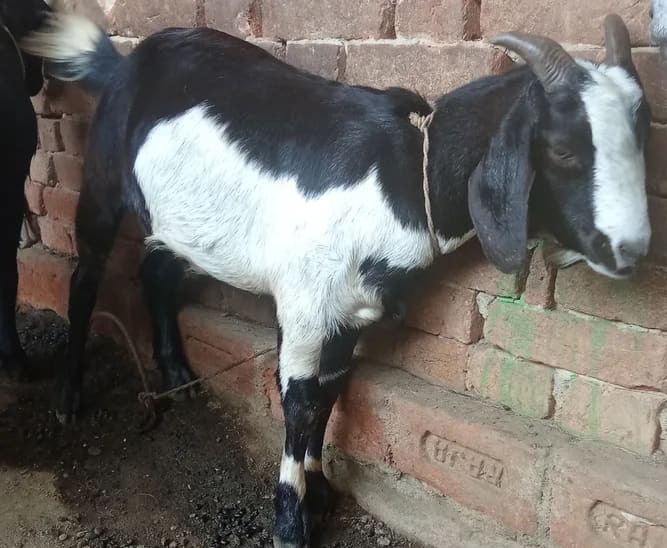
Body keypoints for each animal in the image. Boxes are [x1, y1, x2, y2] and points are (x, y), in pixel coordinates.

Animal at [24, 13, 652, 547]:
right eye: (563, 150)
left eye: (641, 134)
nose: (632, 250)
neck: (408, 169)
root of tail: (123, 63)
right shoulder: (305, 303)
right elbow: (300, 401)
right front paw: (290, 521)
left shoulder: (349, 309)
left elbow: (330, 391)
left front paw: (320, 490)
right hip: (103, 180)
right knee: (85, 279)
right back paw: (68, 397)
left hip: (180, 222)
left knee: (156, 269)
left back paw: (178, 374)